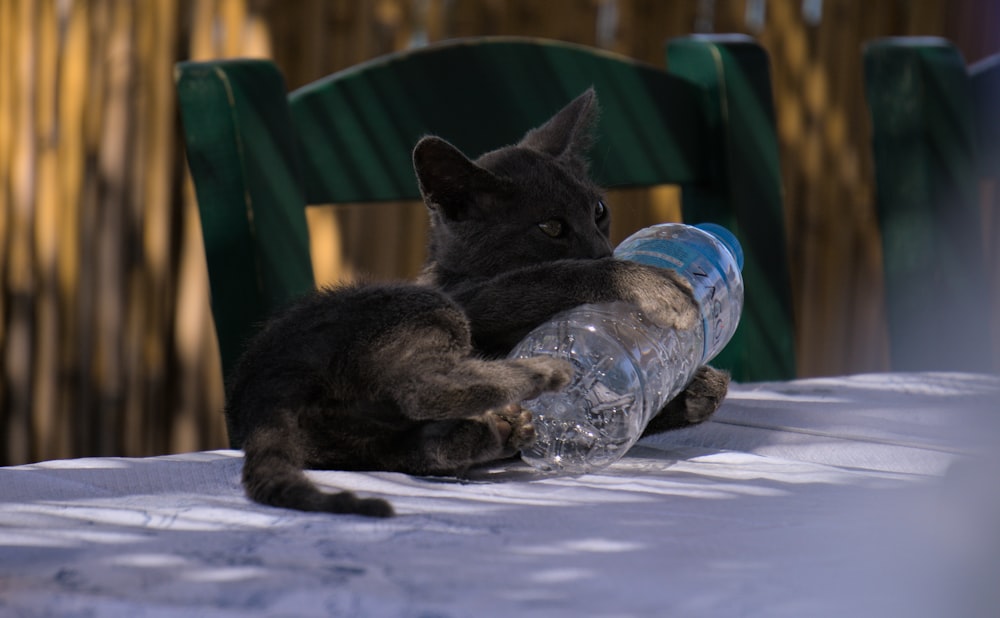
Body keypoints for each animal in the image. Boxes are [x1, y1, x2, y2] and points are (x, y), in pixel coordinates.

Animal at [225, 89, 728, 516]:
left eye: (598, 211)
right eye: (551, 227)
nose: (603, 250)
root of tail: (261, 387)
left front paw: (699, 388)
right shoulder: (474, 299)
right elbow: (552, 276)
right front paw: (655, 286)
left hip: (342, 438)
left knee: (399, 442)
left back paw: (488, 433)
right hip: (417, 306)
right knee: (419, 386)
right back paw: (542, 373)